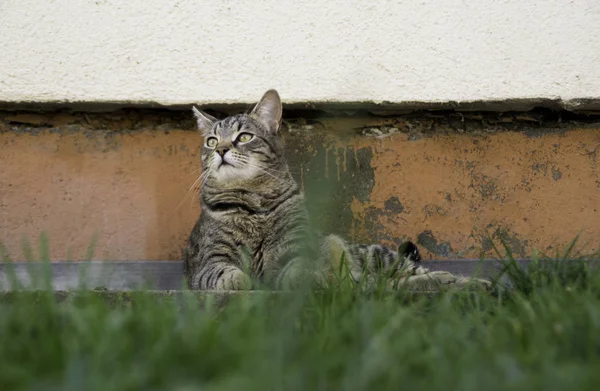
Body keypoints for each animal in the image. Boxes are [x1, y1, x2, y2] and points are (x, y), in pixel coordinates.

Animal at [182, 89, 488, 290]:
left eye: (244, 137)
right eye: (211, 141)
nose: (221, 149)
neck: (252, 204)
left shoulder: (296, 250)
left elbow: (298, 270)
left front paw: (301, 280)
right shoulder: (210, 259)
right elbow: (224, 273)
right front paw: (241, 282)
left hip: (375, 256)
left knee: (409, 272)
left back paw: (468, 281)